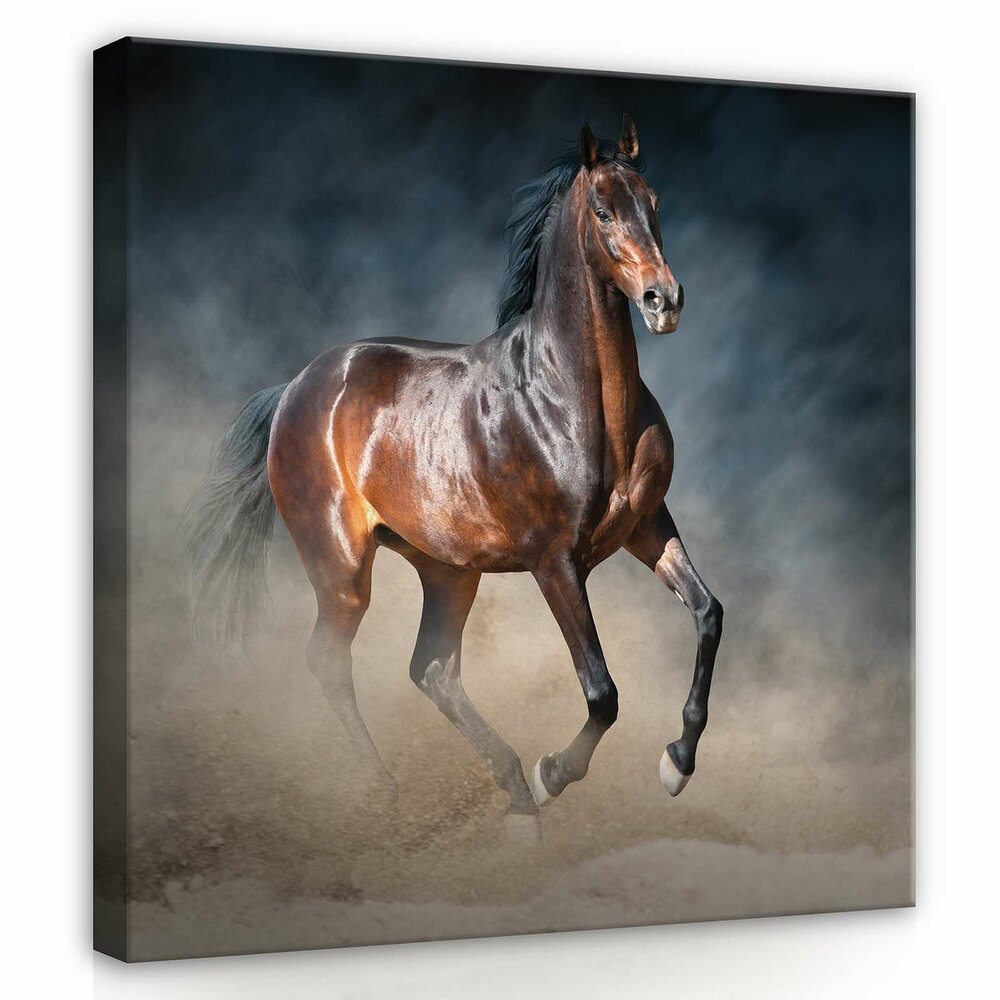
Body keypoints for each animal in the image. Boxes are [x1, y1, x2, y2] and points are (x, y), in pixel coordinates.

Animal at [184, 115, 723, 836]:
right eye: (605, 210)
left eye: (654, 202)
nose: (665, 299)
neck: (572, 400)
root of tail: (296, 387)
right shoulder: (554, 560)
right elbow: (602, 692)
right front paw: (554, 774)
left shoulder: (648, 527)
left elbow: (708, 615)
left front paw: (677, 764)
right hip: (343, 570)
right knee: (330, 660)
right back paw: (393, 794)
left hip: (448, 570)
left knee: (432, 669)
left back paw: (514, 799)